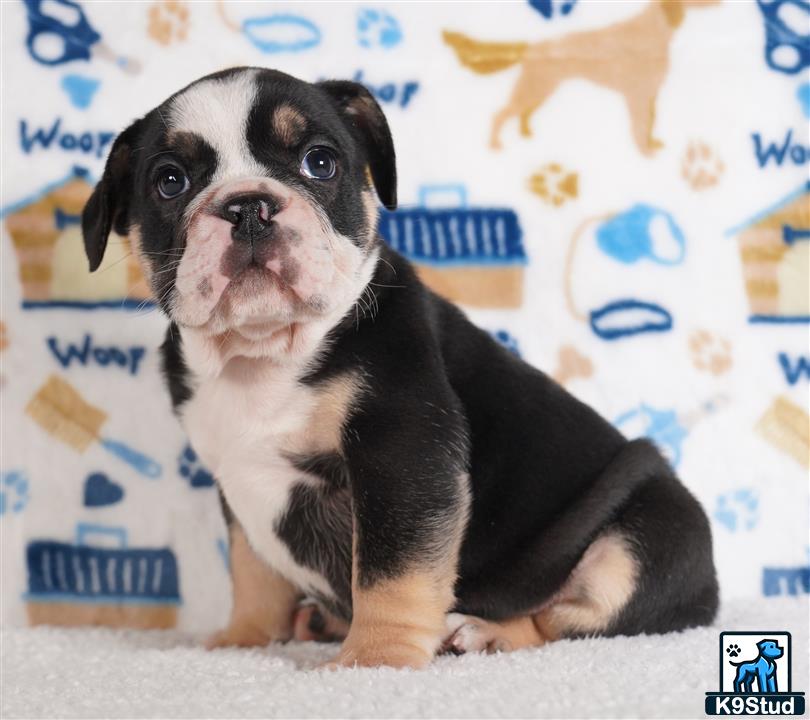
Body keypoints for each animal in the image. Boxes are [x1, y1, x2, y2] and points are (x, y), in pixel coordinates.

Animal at [80, 67, 712, 668]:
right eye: (170, 181)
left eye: (320, 162)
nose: (248, 206)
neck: (264, 355)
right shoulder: (237, 482)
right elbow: (253, 571)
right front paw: (244, 639)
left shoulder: (403, 454)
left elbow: (392, 570)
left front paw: (376, 659)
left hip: (641, 542)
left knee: (564, 619)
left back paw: (481, 633)